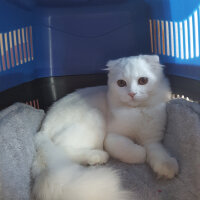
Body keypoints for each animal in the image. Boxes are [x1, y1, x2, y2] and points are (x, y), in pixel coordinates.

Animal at [32, 54, 179, 200]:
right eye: (121, 83)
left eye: (143, 81)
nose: (131, 94)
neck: (137, 111)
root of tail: (42, 130)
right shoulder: (112, 137)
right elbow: (135, 152)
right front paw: (141, 152)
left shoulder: (152, 139)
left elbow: (159, 153)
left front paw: (167, 168)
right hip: (94, 117)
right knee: (66, 151)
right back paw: (98, 157)